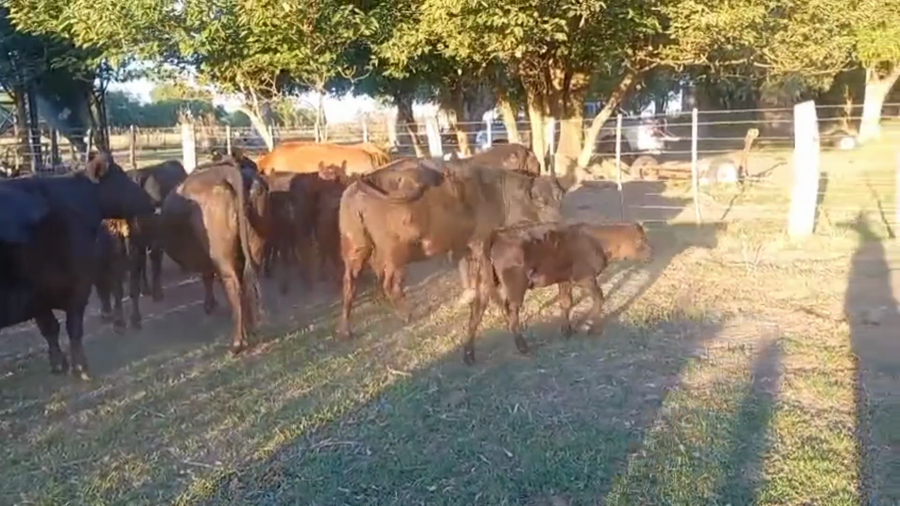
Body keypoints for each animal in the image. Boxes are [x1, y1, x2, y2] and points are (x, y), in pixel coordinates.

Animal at [0, 153, 155, 379]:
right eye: (121, 178)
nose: (151, 202)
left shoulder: (39, 296)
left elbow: (50, 329)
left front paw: (59, 365)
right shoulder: (76, 286)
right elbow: (72, 328)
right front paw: (81, 367)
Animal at [158, 159, 269, 354]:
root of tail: (230, 172)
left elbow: (208, 277)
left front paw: (209, 305)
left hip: (221, 256)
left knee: (233, 285)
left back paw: (237, 343)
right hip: (255, 246)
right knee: (247, 283)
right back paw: (251, 330)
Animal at [337, 161, 566, 339]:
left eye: (559, 197)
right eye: (540, 202)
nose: (558, 222)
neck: (496, 193)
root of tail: (357, 189)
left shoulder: (463, 246)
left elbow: (467, 271)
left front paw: (470, 296)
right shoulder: (481, 243)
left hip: (356, 249)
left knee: (350, 284)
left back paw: (346, 329)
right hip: (396, 255)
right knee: (389, 283)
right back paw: (406, 314)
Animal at [462, 222, 651, 364]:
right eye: (641, 240)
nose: (651, 250)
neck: (598, 241)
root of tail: (496, 234)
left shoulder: (565, 280)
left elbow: (566, 303)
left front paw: (567, 331)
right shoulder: (585, 277)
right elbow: (599, 298)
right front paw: (592, 328)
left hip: (484, 285)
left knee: (475, 315)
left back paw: (469, 356)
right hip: (515, 285)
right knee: (511, 312)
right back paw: (523, 347)